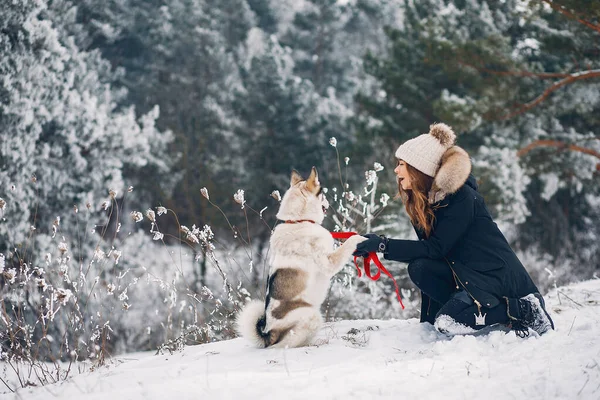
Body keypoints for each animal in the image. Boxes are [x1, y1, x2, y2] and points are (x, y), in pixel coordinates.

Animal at [236, 167, 366, 348]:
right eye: (323, 194)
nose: (329, 204)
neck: (298, 221)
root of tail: (268, 334)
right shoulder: (329, 263)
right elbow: (348, 243)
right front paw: (360, 238)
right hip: (311, 316)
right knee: (283, 345)